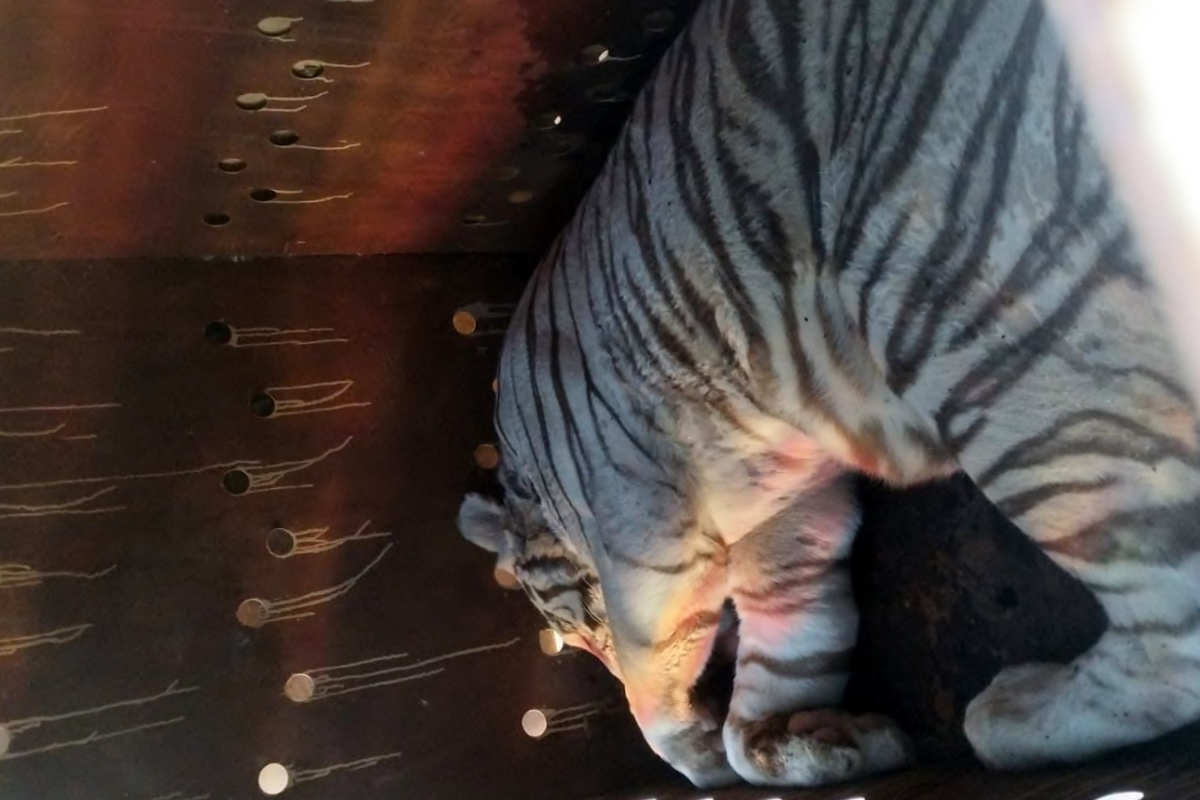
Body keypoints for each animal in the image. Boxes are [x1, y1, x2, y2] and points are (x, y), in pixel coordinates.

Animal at [457, 0, 1200, 789]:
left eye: (573, 637)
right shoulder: (789, 519)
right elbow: (791, 646)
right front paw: (811, 742)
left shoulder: (643, 545)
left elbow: (649, 681)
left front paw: (699, 757)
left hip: (993, 352)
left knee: (1172, 632)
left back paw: (1011, 716)